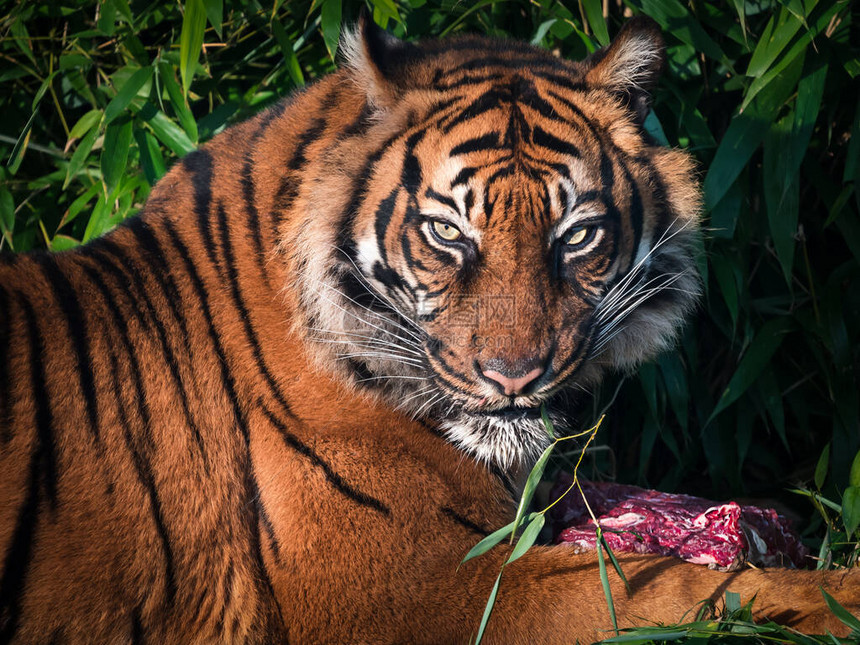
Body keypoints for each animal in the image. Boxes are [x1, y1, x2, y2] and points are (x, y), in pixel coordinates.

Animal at [0, 11, 856, 644]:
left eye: (576, 235)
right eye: (447, 233)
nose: (514, 376)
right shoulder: (420, 588)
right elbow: (680, 587)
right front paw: (838, 594)